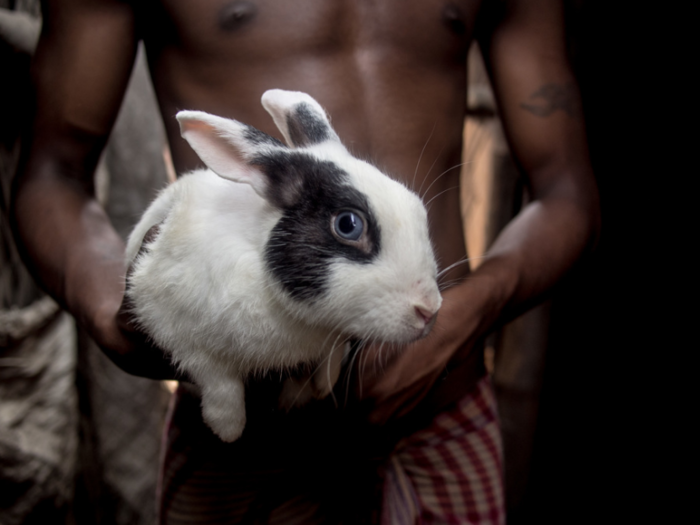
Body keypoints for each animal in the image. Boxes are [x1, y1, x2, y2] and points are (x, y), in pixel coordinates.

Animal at [124, 88, 442, 440]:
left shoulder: (335, 334)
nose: (430, 310)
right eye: (348, 225)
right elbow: (217, 380)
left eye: (416, 206)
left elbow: (332, 354)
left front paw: (323, 385)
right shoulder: (174, 328)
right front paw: (227, 428)